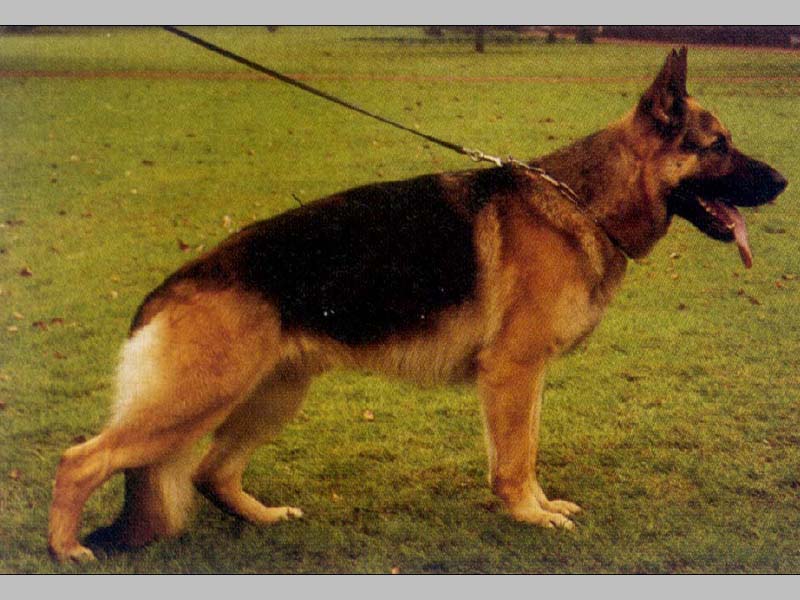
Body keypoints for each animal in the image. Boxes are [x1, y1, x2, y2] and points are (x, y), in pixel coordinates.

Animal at [48, 48, 787, 562]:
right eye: (717, 145)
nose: (783, 181)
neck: (583, 204)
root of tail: (168, 286)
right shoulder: (512, 372)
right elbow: (515, 457)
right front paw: (530, 515)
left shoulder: (526, 378)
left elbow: (527, 448)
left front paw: (538, 505)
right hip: (198, 400)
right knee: (80, 459)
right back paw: (66, 548)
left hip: (271, 397)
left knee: (208, 472)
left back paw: (262, 518)